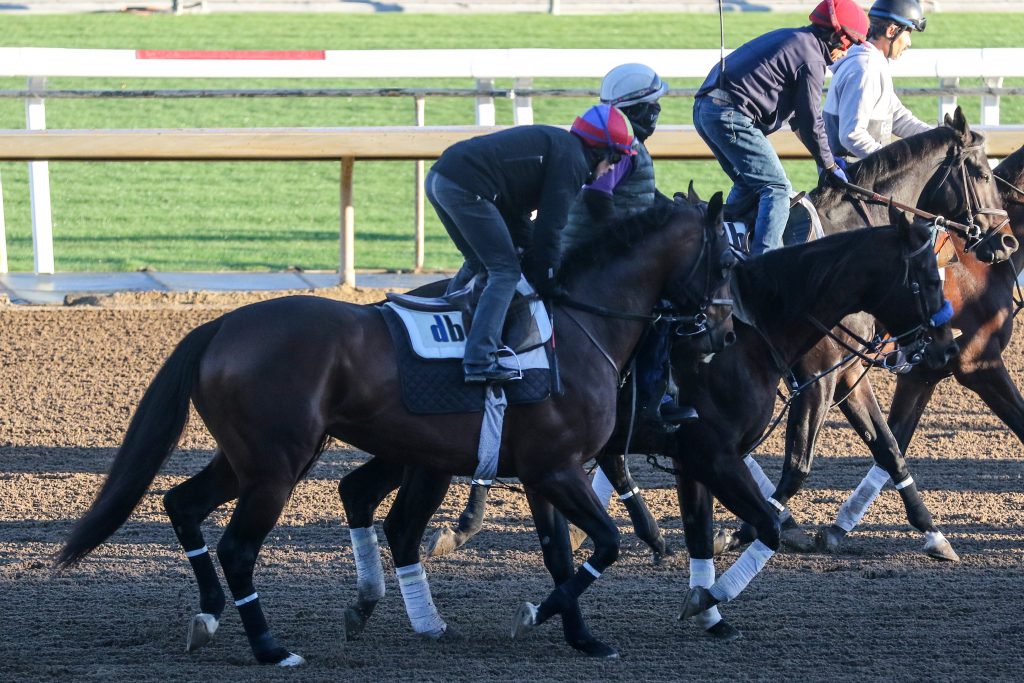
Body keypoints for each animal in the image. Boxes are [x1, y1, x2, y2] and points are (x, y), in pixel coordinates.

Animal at [54, 194, 737, 663]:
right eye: (727, 258)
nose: (725, 332)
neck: (574, 328)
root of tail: (221, 325)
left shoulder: (546, 473)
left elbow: (564, 555)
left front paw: (582, 636)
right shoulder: (558, 469)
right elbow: (605, 545)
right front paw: (535, 617)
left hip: (250, 458)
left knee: (182, 504)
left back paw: (209, 617)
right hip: (278, 466)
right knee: (239, 547)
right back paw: (271, 647)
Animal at [671, 215, 958, 634]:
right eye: (931, 279)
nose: (948, 347)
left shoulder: (848, 376)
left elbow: (888, 448)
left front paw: (933, 532)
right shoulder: (816, 381)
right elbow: (797, 468)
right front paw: (746, 532)